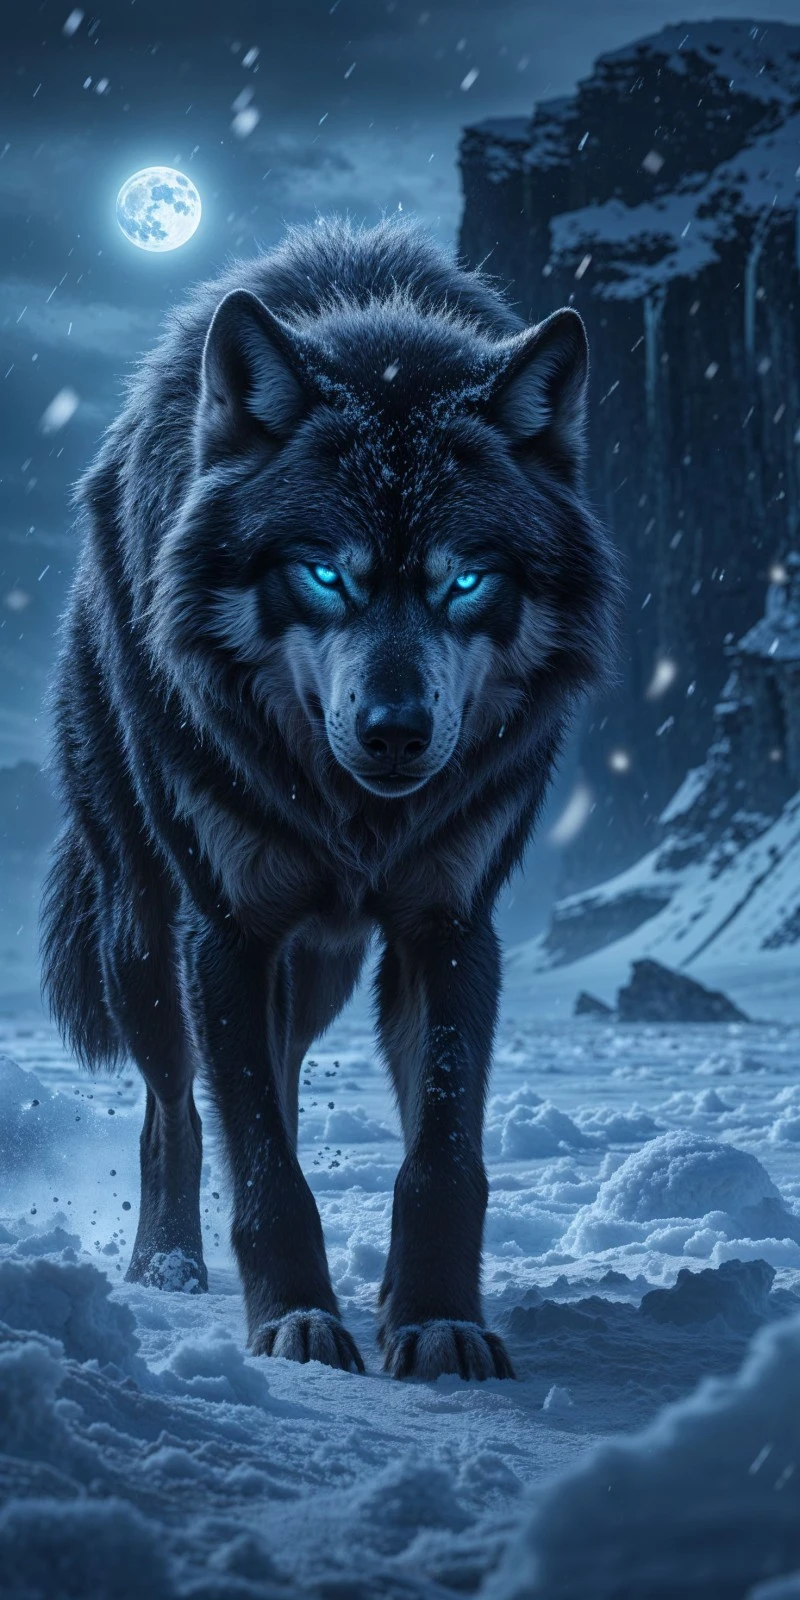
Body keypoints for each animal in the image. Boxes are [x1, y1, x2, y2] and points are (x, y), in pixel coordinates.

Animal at [39, 217, 619, 1380]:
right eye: (324, 575)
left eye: (464, 581)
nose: (395, 731)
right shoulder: (225, 930)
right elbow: (259, 1163)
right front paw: (298, 1320)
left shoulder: (448, 923)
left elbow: (441, 1159)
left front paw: (434, 1318)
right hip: (144, 939)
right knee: (175, 1111)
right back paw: (168, 1266)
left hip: (317, 970)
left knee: (278, 1082)